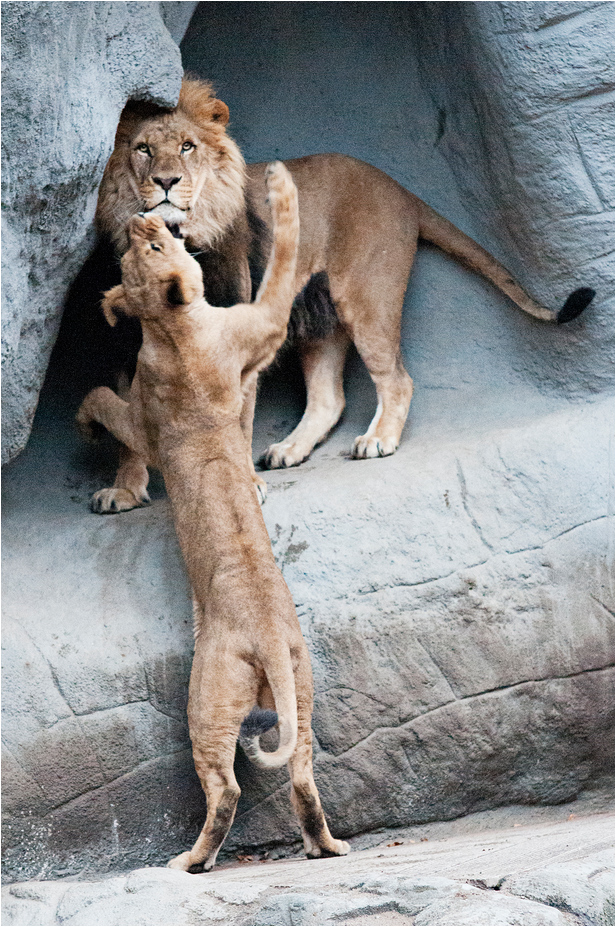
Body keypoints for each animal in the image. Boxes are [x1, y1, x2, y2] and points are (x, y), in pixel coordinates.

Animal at [77, 163, 349, 872]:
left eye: (147, 247)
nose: (144, 217)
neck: (172, 332)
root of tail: (268, 643)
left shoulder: (194, 375)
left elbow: (105, 397)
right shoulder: (238, 344)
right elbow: (280, 278)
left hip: (254, 691)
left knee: (260, 782)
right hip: (260, 691)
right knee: (272, 777)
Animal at [92, 77, 595, 513]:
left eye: (187, 147)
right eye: (142, 149)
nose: (166, 182)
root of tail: (402, 190)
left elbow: (239, 420)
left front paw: (244, 485)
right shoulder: (122, 349)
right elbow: (125, 428)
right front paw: (124, 491)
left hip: (368, 300)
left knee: (397, 379)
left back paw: (378, 440)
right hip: (320, 316)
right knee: (328, 398)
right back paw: (288, 449)